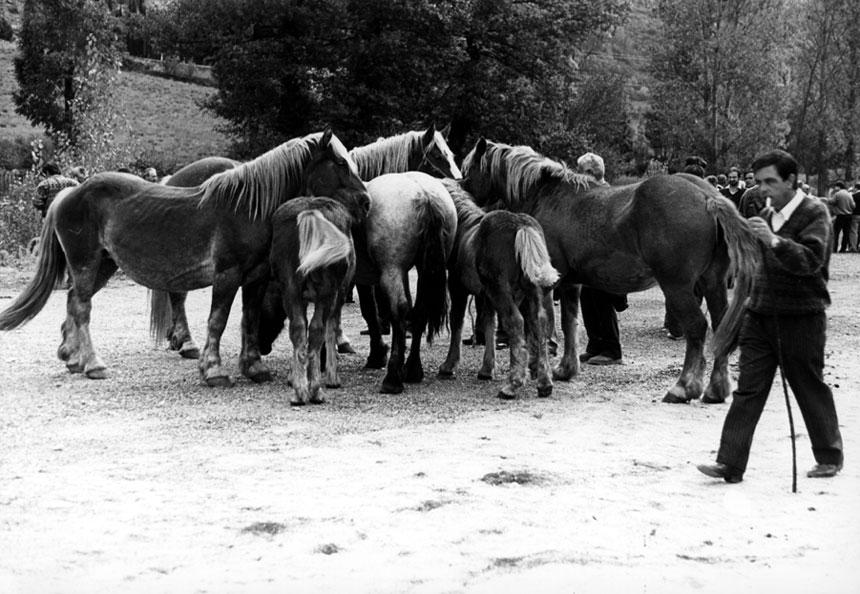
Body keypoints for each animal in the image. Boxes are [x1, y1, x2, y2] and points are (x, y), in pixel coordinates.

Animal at [266, 197, 366, 404]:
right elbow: (332, 328)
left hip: (290, 284)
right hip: (329, 287)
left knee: (297, 327)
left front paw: (291, 377)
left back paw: (299, 392)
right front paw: (333, 378)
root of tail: (309, 213)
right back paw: (315, 390)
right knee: (317, 328)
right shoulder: (341, 292)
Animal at [436, 177, 556, 398]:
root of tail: (520, 225)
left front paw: (449, 366)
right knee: (538, 321)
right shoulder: (487, 295)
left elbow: (457, 321)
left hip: (501, 289)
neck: (464, 227)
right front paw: (487, 369)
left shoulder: (458, 287)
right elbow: (489, 324)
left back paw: (512, 384)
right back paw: (544, 383)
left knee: (515, 322)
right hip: (529, 290)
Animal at [460, 138, 756, 402]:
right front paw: (565, 369)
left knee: (696, 327)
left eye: (468, 169)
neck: (550, 197)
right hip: (713, 281)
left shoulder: (544, 285)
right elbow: (569, 323)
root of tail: (707, 196)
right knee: (720, 325)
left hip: (677, 287)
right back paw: (716, 389)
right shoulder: (570, 284)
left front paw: (536, 370)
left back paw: (683, 387)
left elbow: (540, 326)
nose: (462, 189)